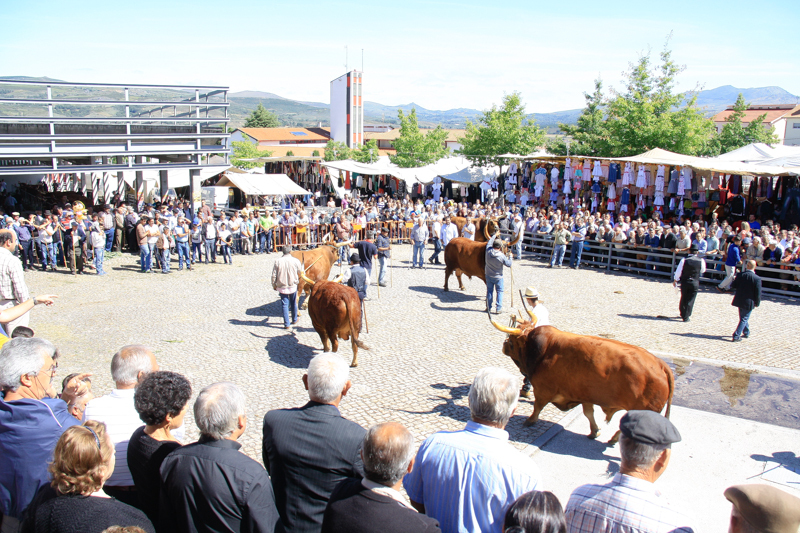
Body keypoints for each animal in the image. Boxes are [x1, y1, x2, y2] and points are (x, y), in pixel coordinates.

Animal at [490, 310, 672, 442]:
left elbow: (538, 407)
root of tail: (659, 363)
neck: (543, 350)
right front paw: (594, 431)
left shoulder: (543, 389)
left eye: (511, 339)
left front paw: (530, 420)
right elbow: (588, 413)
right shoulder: (584, 395)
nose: (504, 345)